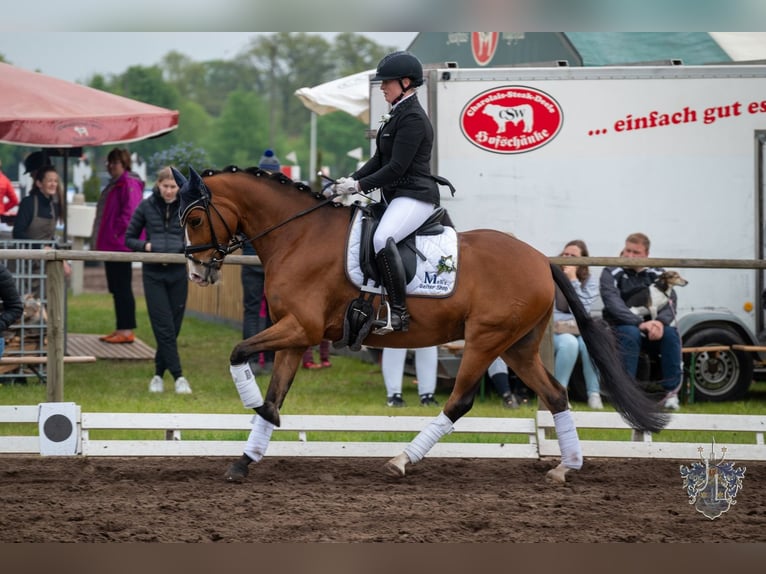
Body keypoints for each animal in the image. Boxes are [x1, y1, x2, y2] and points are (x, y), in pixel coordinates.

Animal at [172, 168, 664, 486]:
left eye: (194, 218)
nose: (196, 273)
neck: (298, 236)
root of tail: (541, 259)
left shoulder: (302, 329)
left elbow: (238, 353)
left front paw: (254, 409)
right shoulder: (297, 334)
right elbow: (275, 392)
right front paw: (246, 456)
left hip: (485, 339)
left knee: (459, 401)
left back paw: (401, 460)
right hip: (518, 345)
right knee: (556, 394)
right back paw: (566, 466)